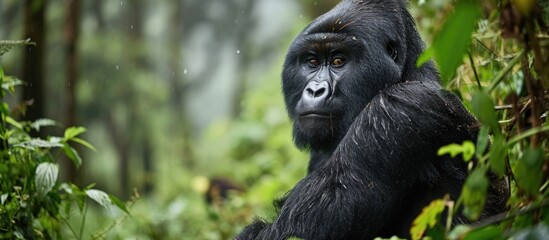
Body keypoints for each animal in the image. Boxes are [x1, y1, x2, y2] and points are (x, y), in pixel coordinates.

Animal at [234, 0, 506, 239]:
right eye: (312, 62)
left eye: (338, 61)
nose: (315, 90)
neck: (406, 75)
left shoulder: (396, 112)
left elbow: (290, 232)